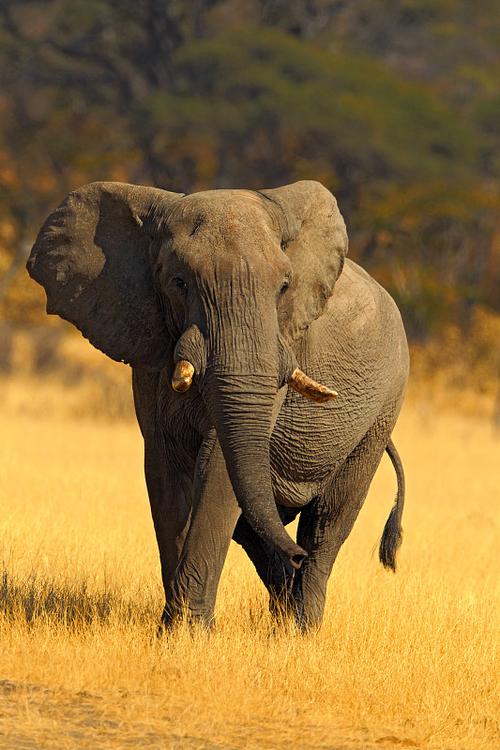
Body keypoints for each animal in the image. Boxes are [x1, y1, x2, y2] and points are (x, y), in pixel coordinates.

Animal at [27, 180, 409, 630]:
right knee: (255, 524)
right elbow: (165, 471)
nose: (295, 559)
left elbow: (219, 465)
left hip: (382, 410)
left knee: (326, 524)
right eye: (178, 282)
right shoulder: (150, 349)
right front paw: (177, 631)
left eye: (284, 286)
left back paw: (301, 627)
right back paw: (284, 607)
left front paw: (188, 632)